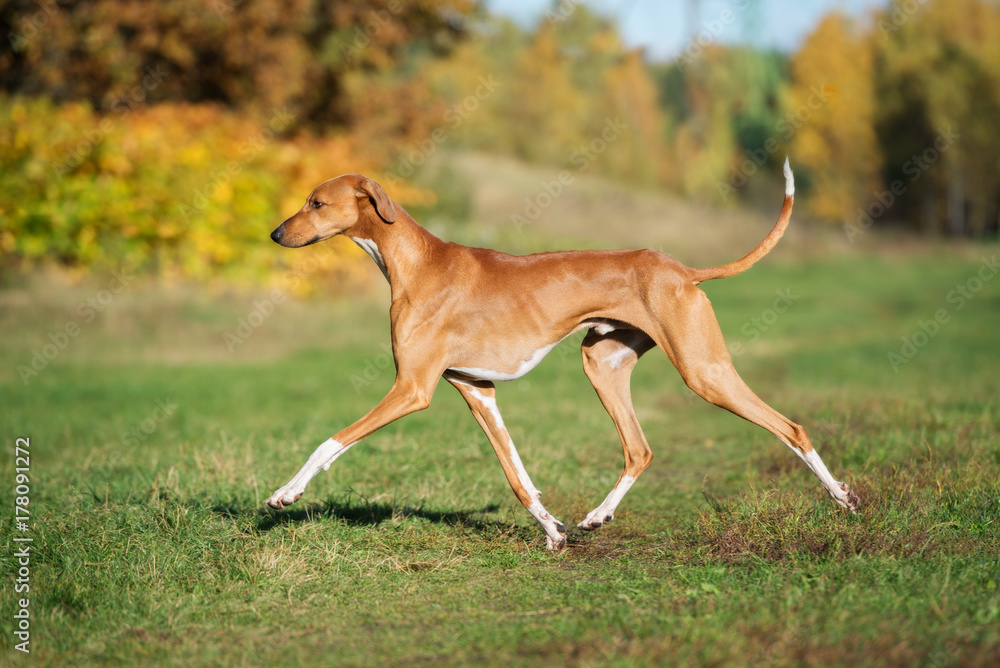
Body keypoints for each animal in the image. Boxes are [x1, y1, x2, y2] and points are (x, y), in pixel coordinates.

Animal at [264, 160, 860, 548]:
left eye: (316, 203)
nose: (274, 233)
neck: (416, 262)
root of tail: (682, 270)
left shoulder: (411, 390)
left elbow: (330, 441)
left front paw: (285, 494)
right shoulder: (477, 391)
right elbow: (517, 475)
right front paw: (552, 530)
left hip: (704, 370)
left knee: (791, 428)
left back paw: (843, 498)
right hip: (602, 365)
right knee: (639, 450)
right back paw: (596, 518)